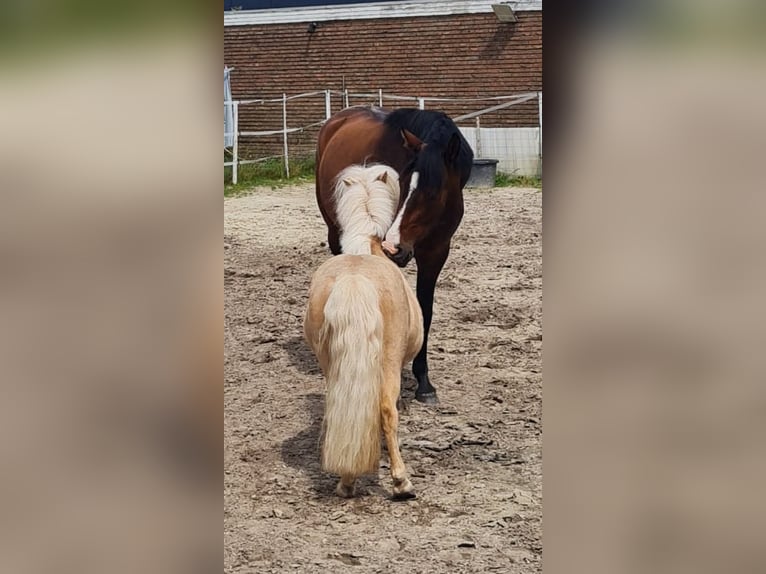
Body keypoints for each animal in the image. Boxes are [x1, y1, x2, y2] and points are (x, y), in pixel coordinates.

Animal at [306, 164, 426, 502]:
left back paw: (346, 481)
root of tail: (354, 280)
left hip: (331, 364)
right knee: (385, 410)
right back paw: (401, 483)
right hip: (387, 362)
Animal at [316, 107, 474, 404]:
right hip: (335, 232)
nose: (394, 246)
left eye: (433, 192)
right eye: (401, 181)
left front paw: (424, 382)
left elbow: (425, 311)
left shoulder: (436, 253)